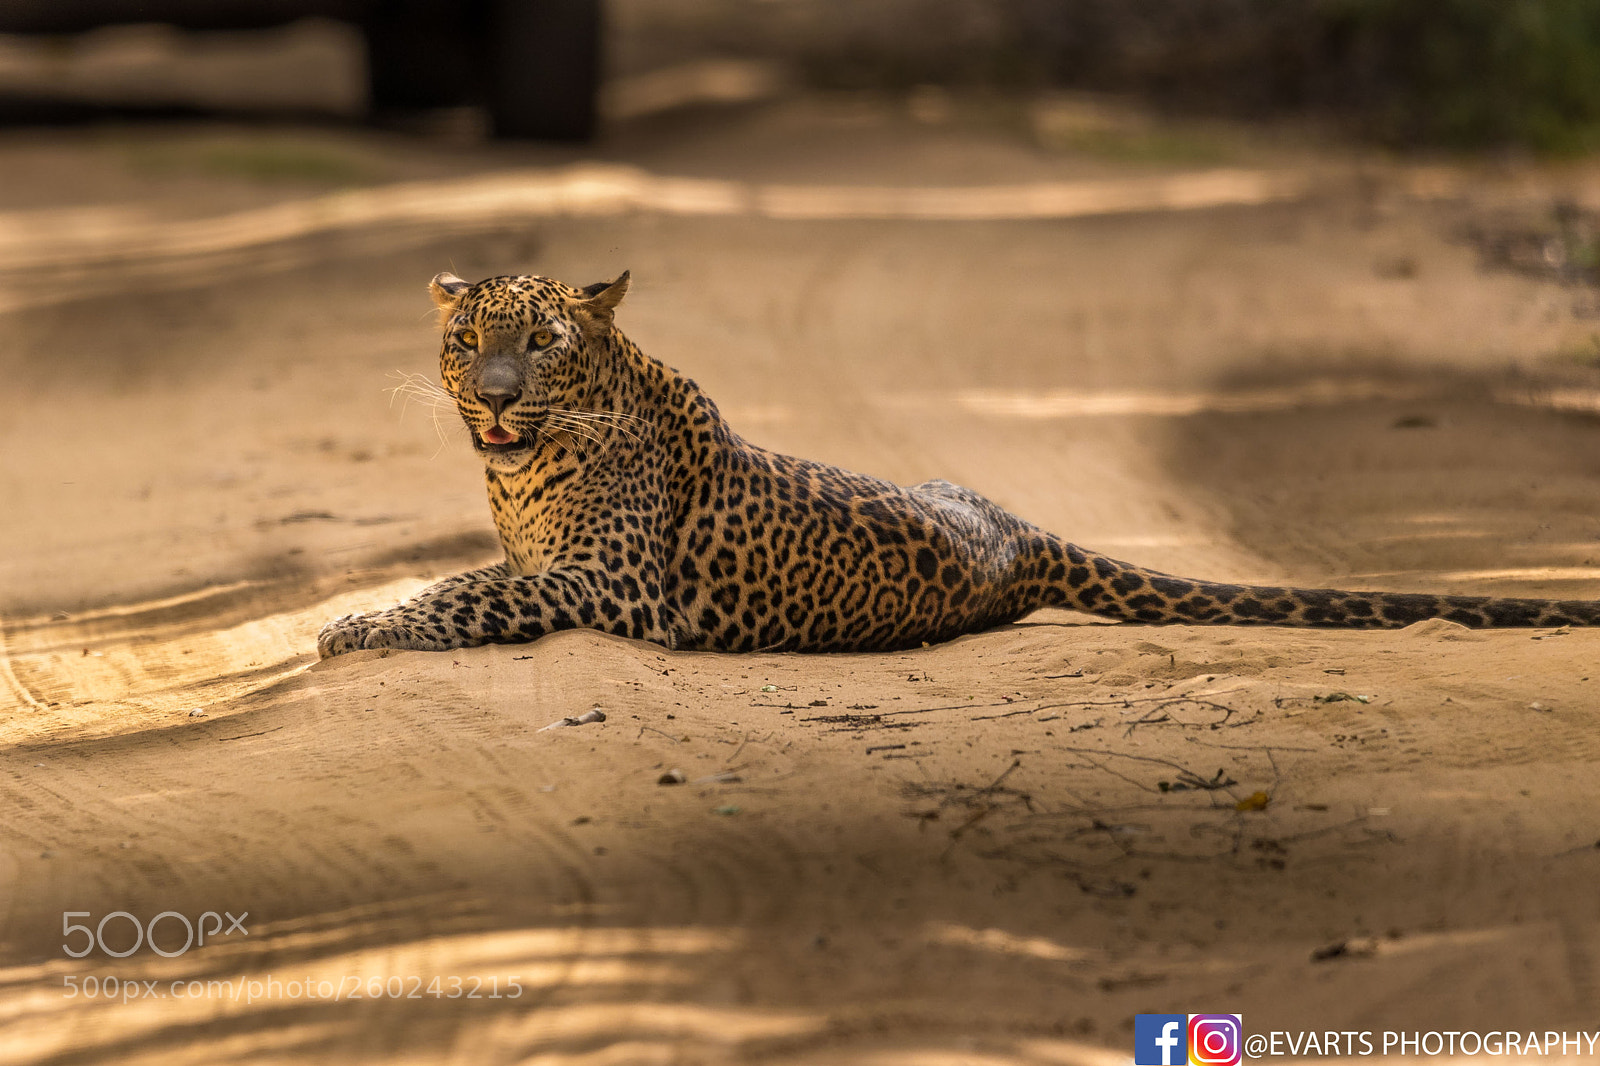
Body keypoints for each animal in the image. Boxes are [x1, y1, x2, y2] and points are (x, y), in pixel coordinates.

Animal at [318, 267, 1600, 656]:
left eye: (539, 343)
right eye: (468, 342)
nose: (496, 396)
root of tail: (1019, 533)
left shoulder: (613, 582)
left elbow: (476, 592)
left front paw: (358, 626)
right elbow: (479, 572)